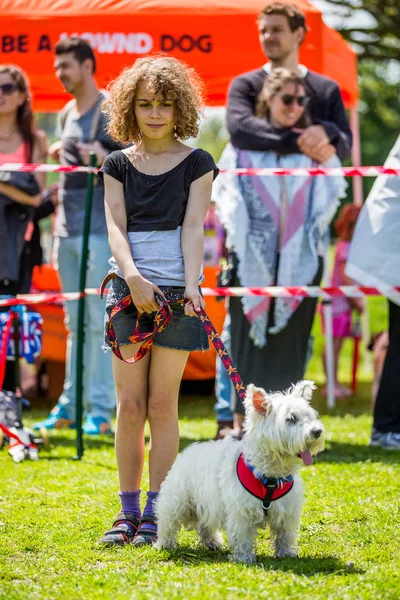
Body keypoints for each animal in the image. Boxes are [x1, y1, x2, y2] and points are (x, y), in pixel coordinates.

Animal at [155, 380, 324, 564]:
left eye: (310, 416)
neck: (271, 474)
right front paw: (244, 558)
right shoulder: (241, 511)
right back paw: (163, 544)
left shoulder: (286, 509)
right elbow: (242, 536)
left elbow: (284, 534)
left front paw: (286, 554)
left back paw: (212, 542)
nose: (317, 431)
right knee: (168, 522)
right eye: (291, 419)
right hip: (177, 501)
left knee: (205, 524)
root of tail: (188, 450)